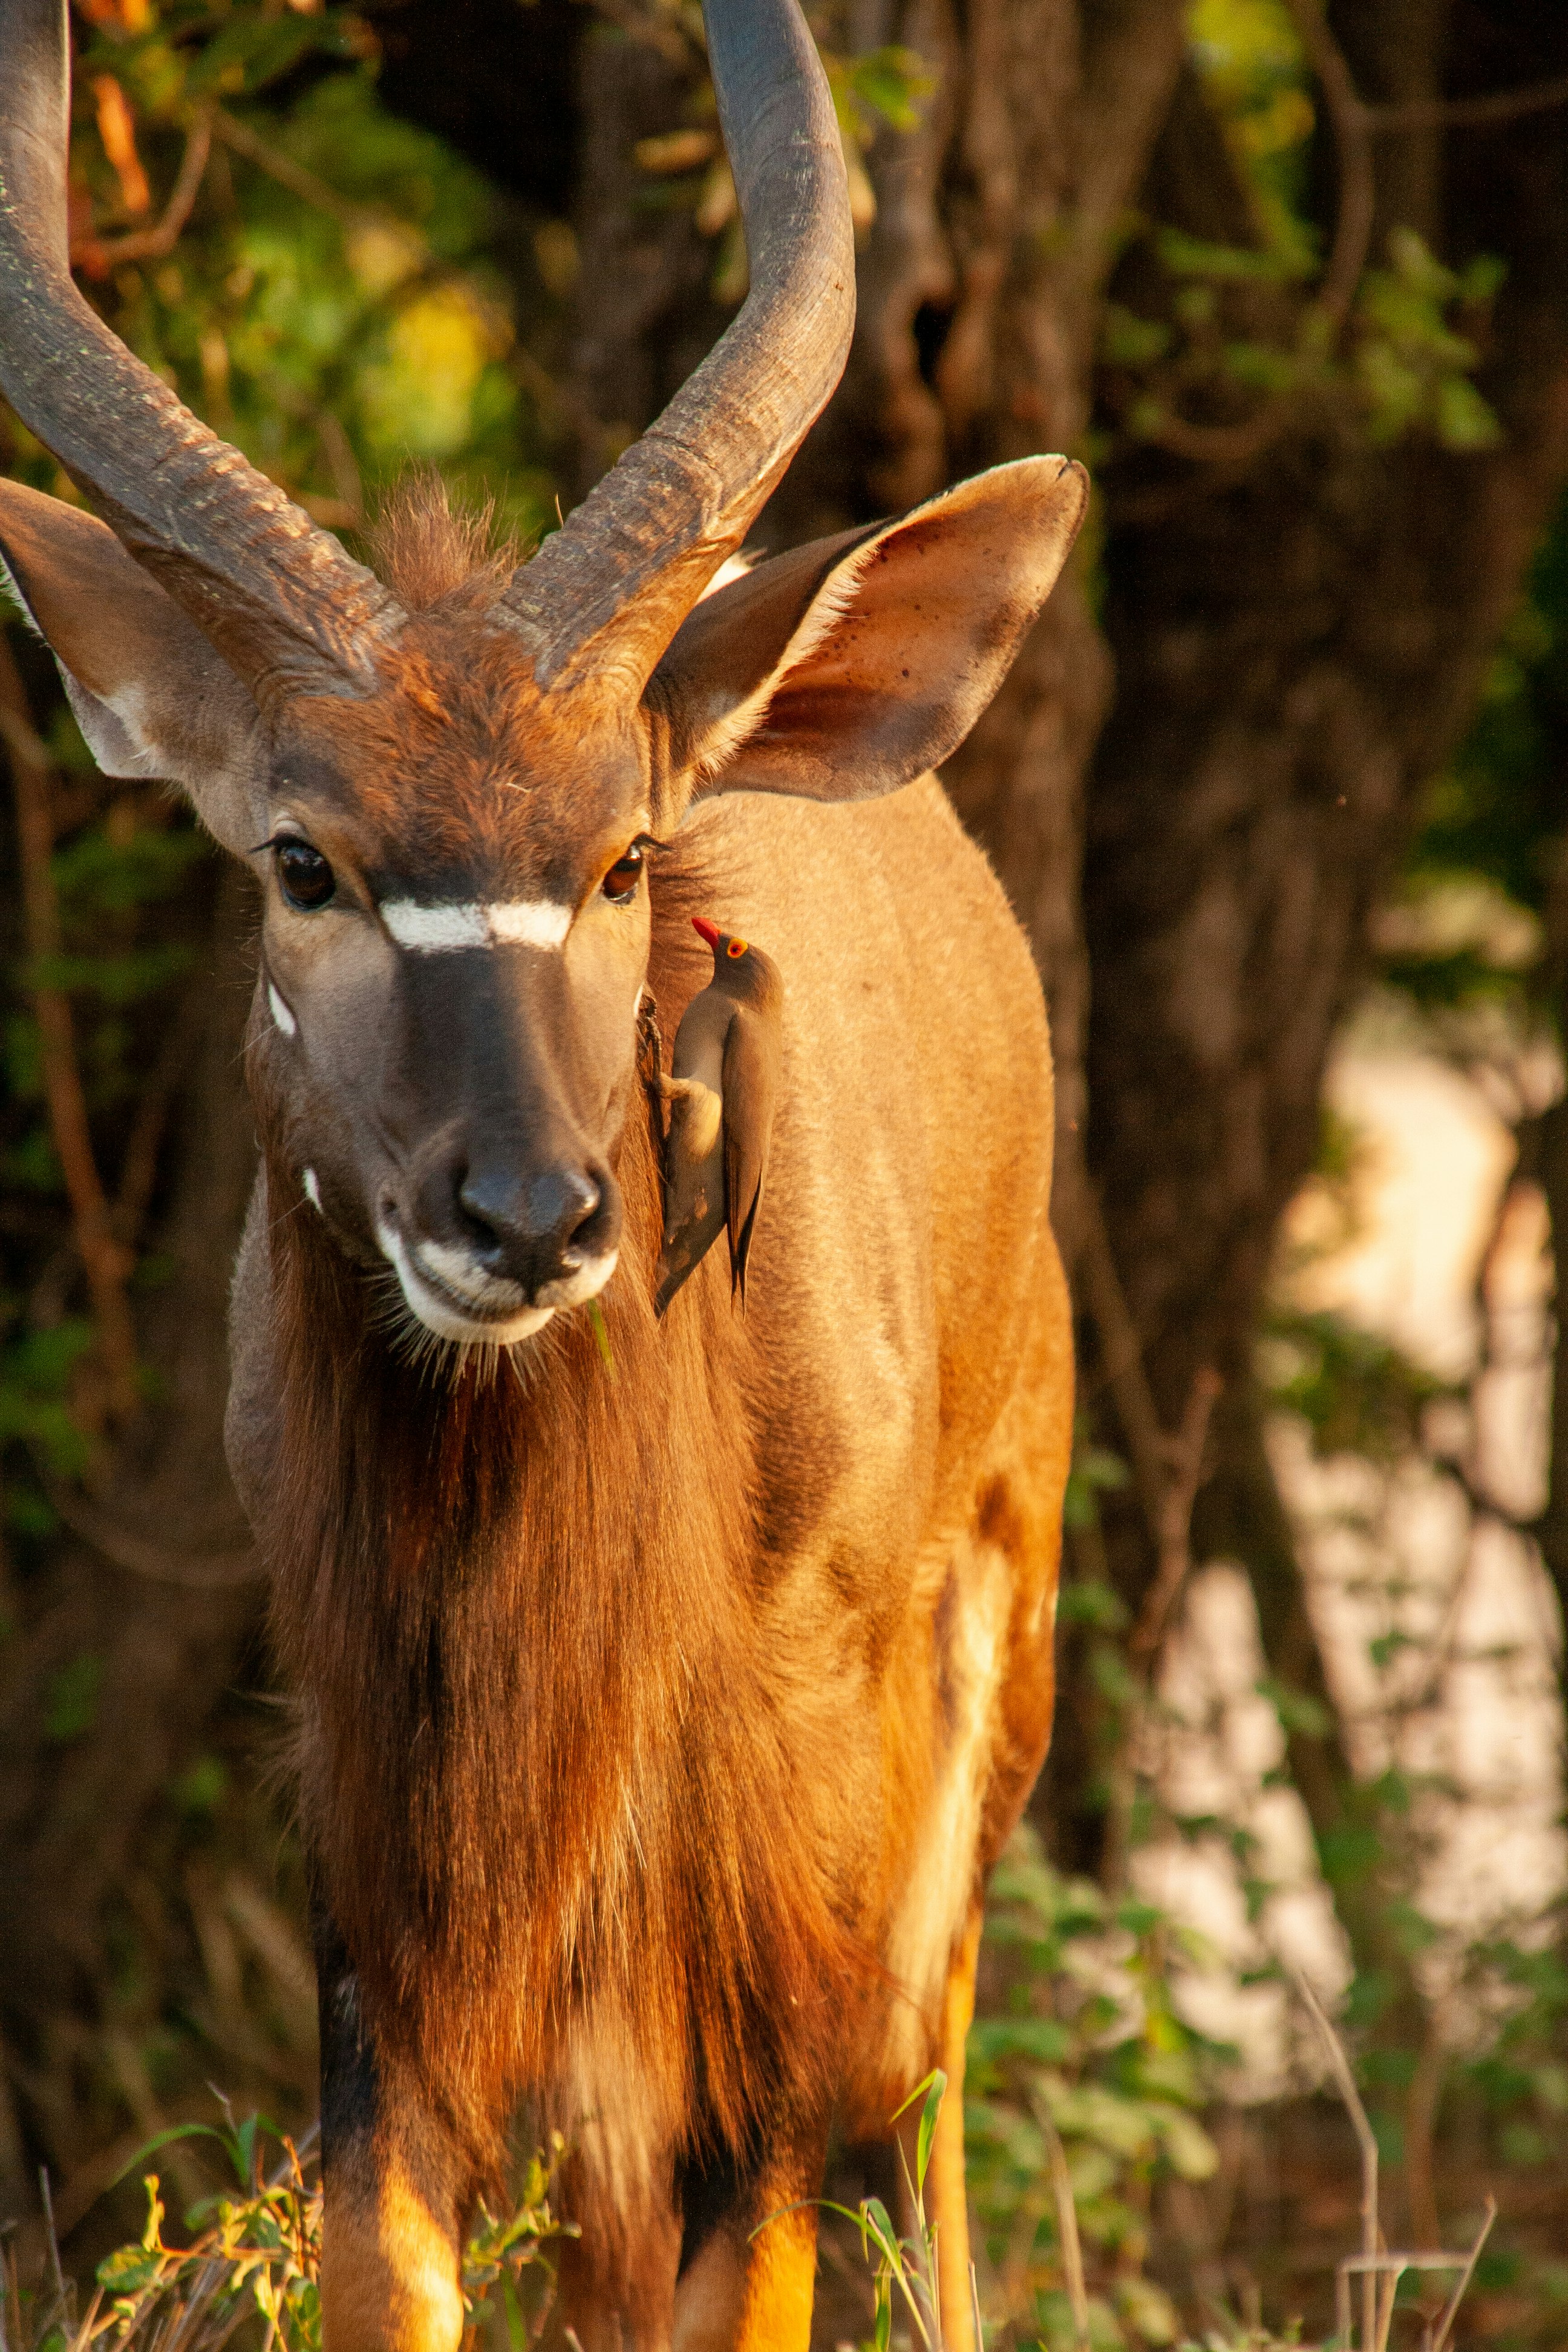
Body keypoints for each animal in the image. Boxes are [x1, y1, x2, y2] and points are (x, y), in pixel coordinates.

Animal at [0, 0, 1086, 2342]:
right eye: (303, 859)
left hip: (974, 1743)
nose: (526, 1220)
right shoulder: (384, 1909)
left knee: (938, 2161)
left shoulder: (783, 1939)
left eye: (618, 859)